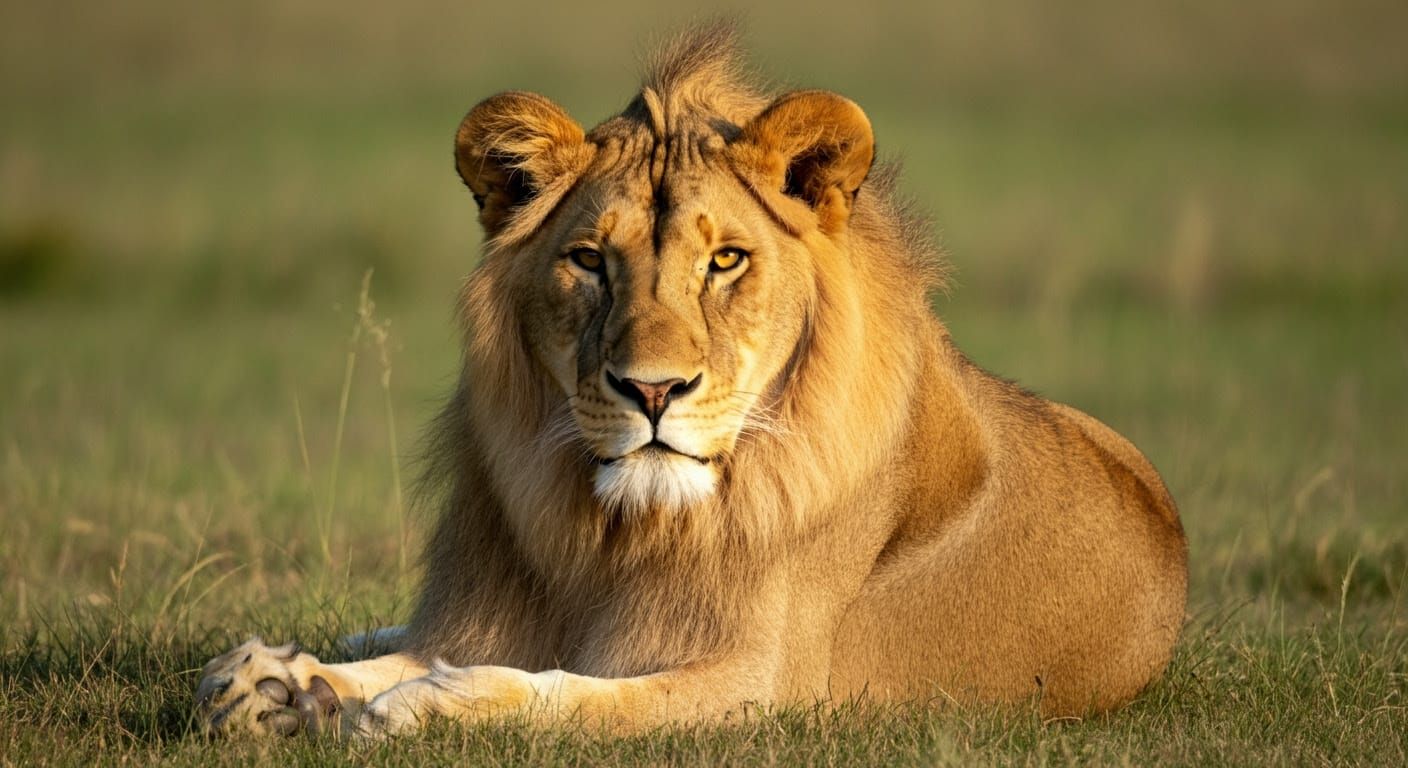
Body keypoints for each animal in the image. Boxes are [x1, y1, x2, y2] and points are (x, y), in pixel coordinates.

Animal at [196, 24, 1187, 738]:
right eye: (590, 261)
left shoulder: (763, 687)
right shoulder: (508, 613)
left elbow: (576, 697)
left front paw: (416, 704)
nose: (653, 391)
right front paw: (277, 686)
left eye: (726, 261)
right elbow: (429, 654)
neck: (621, 533)